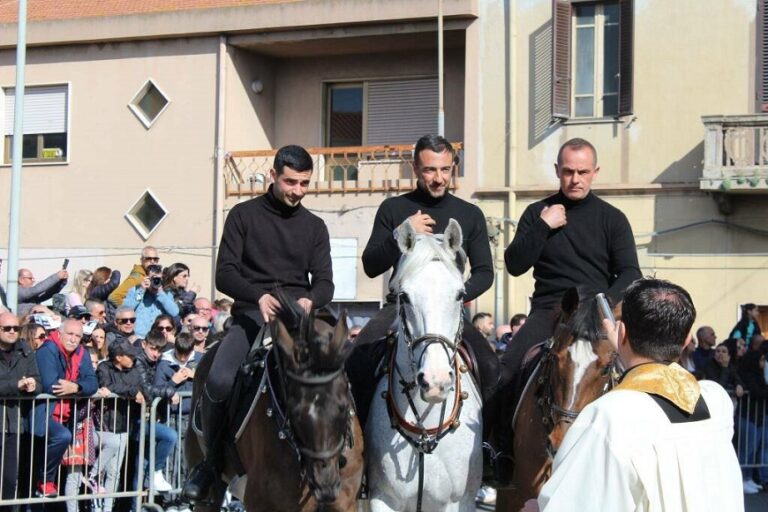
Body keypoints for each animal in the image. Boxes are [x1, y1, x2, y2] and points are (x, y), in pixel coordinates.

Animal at [364, 219, 480, 512]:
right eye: (404, 296)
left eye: (460, 295)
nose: (435, 381)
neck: (425, 433)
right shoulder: (383, 499)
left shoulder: (454, 502)